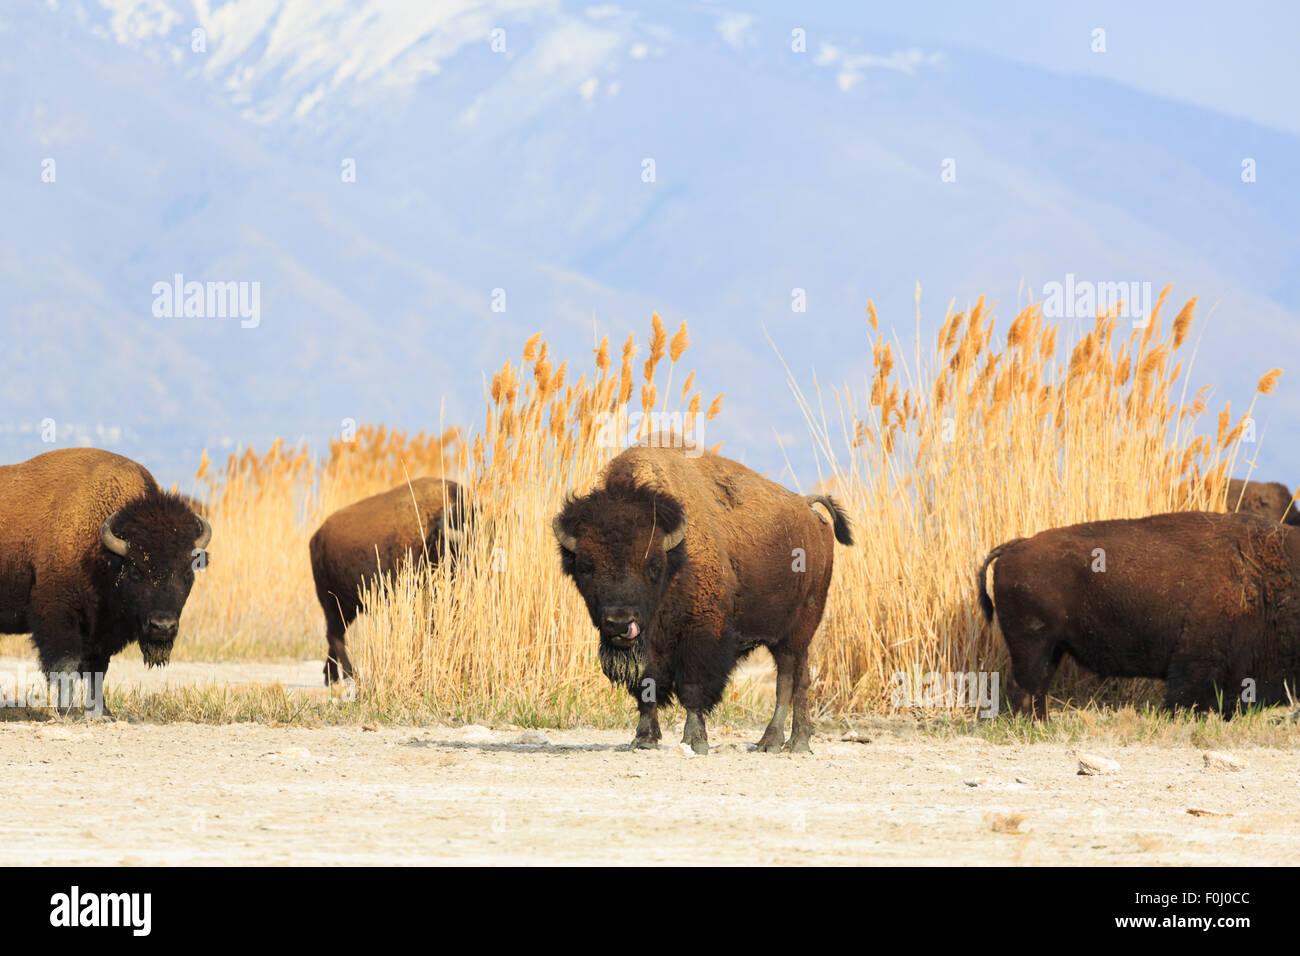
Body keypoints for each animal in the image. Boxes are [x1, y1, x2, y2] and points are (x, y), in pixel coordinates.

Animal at [0, 447, 213, 697]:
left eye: (187, 574)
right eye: (135, 571)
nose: (163, 626)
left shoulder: (102, 634)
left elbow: (97, 672)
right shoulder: (59, 617)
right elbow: (65, 668)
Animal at [309, 476, 467, 686]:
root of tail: (317, 537)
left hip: (349, 607)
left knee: (335, 636)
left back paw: (332, 677)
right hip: (332, 602)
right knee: (335, 636)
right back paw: (352, 675)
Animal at [556, 447, 852, 754]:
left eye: (653, 565)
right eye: (585, 567)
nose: (620, 622)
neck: (676, 557)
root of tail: (809, 510)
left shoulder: (701, 635)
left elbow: (693, 688)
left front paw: (696, 740)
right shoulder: (649, 649)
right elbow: (647, 688)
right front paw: (644, 739)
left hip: (798, 630)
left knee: (790, 680)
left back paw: (783, 742)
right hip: (787, 636)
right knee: (794, 679)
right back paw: (784, 741)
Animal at [977, 512, 1300, 712]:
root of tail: (1014, 547)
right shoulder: (1195, 664)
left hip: (1052, 648)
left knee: (1037, 687)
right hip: (1034, 645)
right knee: (1024, 686)